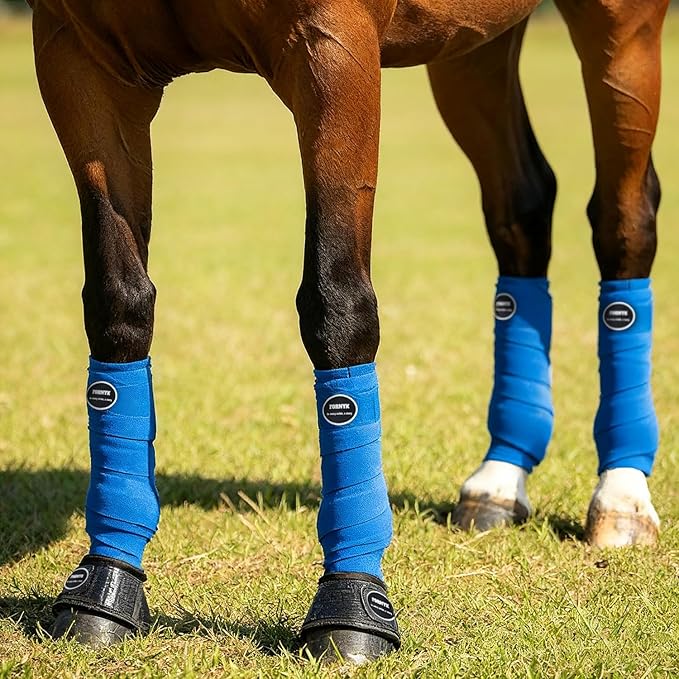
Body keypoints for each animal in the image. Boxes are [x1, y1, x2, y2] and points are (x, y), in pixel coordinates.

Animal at [29, 0, 669, 665]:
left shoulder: (333, 54)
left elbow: (336, 304)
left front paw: (352, 606)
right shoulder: (78, 58)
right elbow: (118, 303)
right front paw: (103, 588)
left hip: (623, 33)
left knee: (624, 222)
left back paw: (622, 495)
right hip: (474, 51)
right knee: (523, 209)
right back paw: (500, 477)